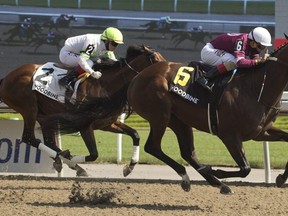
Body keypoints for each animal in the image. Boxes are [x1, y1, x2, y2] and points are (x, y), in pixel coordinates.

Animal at [0, 44, 165, 176]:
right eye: (155, 59)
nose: (167, 70)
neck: (106, 86)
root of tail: (7, 77)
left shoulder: (107, 123)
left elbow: (135, 134)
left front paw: (129, 167)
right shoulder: (84, 125)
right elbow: (94, 154)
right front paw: (73, 161)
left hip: (44, 115)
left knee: (48, 141)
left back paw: (62, 160)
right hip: (29, 108)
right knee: (29, 137)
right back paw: (68, 161)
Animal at [125, 42, 288, 194]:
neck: (256, 88)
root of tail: (137, 77)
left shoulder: (260, 132)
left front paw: (281, 178)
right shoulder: (229, 135)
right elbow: (245, 168)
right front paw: (214, 170)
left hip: (179, 120)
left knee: (188, 153)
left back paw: (217, 183)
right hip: (160, 116)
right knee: (153, 147)